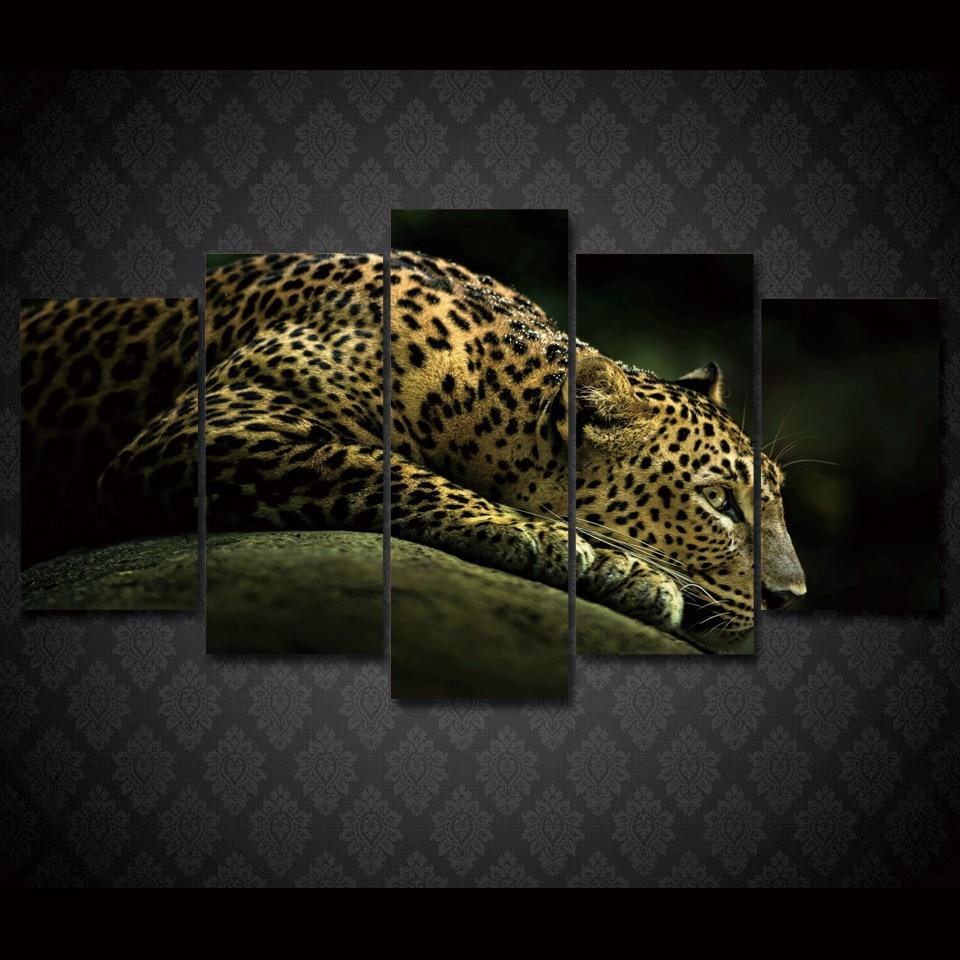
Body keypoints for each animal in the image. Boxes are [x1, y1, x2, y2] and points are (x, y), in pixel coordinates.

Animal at [19, 251, 805, 640]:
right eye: (717, 501)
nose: (791, 598)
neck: (481, 395)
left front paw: (623, 570)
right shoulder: (220, 423)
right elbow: (378, 465)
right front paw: (564, 546)